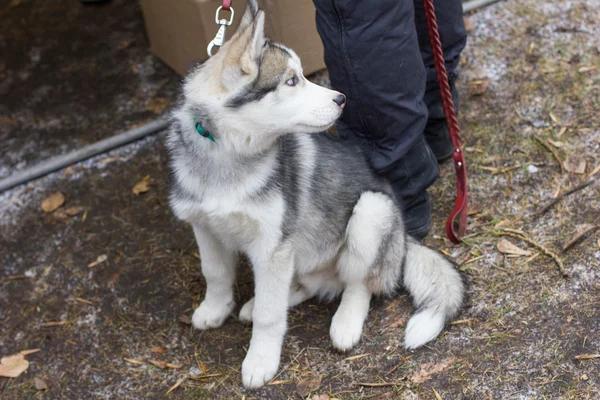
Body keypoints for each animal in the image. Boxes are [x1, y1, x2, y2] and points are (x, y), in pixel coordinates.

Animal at [166, 0, 466, 388]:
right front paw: (214, 311)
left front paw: (260, 361)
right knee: (304, 285)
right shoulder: (205, 228)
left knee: (358, 284)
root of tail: (404, 239)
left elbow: (269, 315)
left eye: (301, 75)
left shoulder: (272, 246)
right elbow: (215, 274)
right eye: (291, 80)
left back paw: (345, 323)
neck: (230, 154)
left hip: (371, 212)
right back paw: (264, 300)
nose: (342, 99)